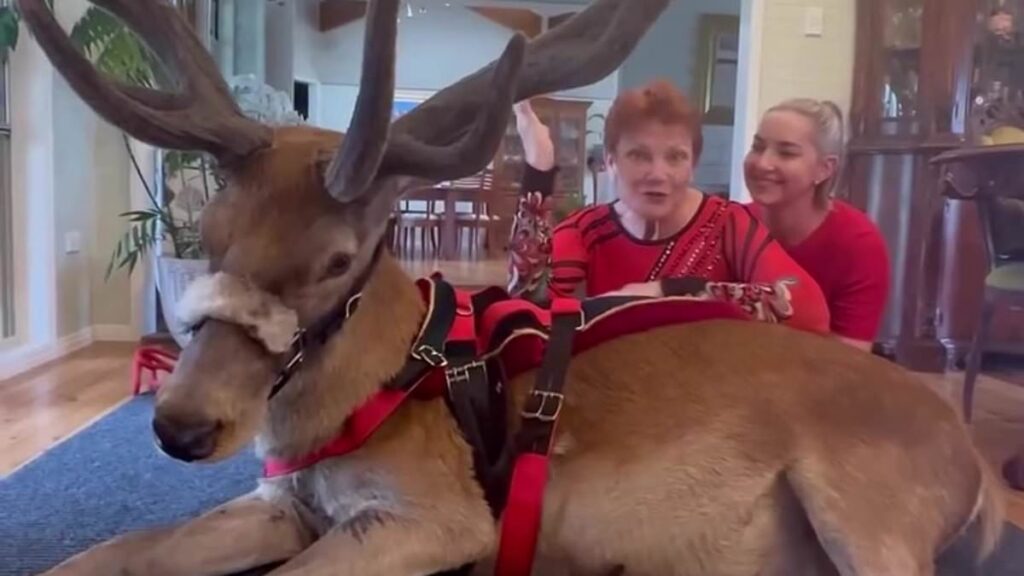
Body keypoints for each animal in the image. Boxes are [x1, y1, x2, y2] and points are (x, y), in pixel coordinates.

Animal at [20, 0, 1006, 575]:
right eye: (213, 236)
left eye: (337, 261)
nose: (182, 426)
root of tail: (982, 471)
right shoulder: (279, 505)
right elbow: (105, 555)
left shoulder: (441, 518)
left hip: (873, 508)